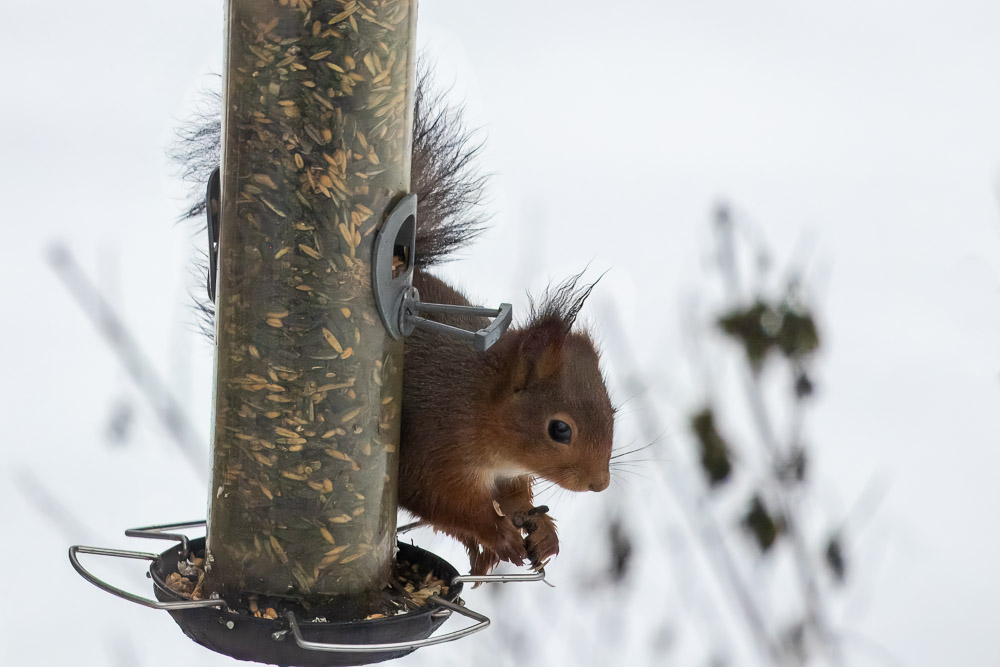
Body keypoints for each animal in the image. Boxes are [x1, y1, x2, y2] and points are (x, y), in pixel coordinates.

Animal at [181, 70, 616, 576]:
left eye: (612, 413)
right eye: (559, 430)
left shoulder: (505, 471)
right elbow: (443, 502)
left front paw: (541, 530)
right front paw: (498, 534)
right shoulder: (438, 446)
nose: (600, 484)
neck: (479, 402)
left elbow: (513, 496)